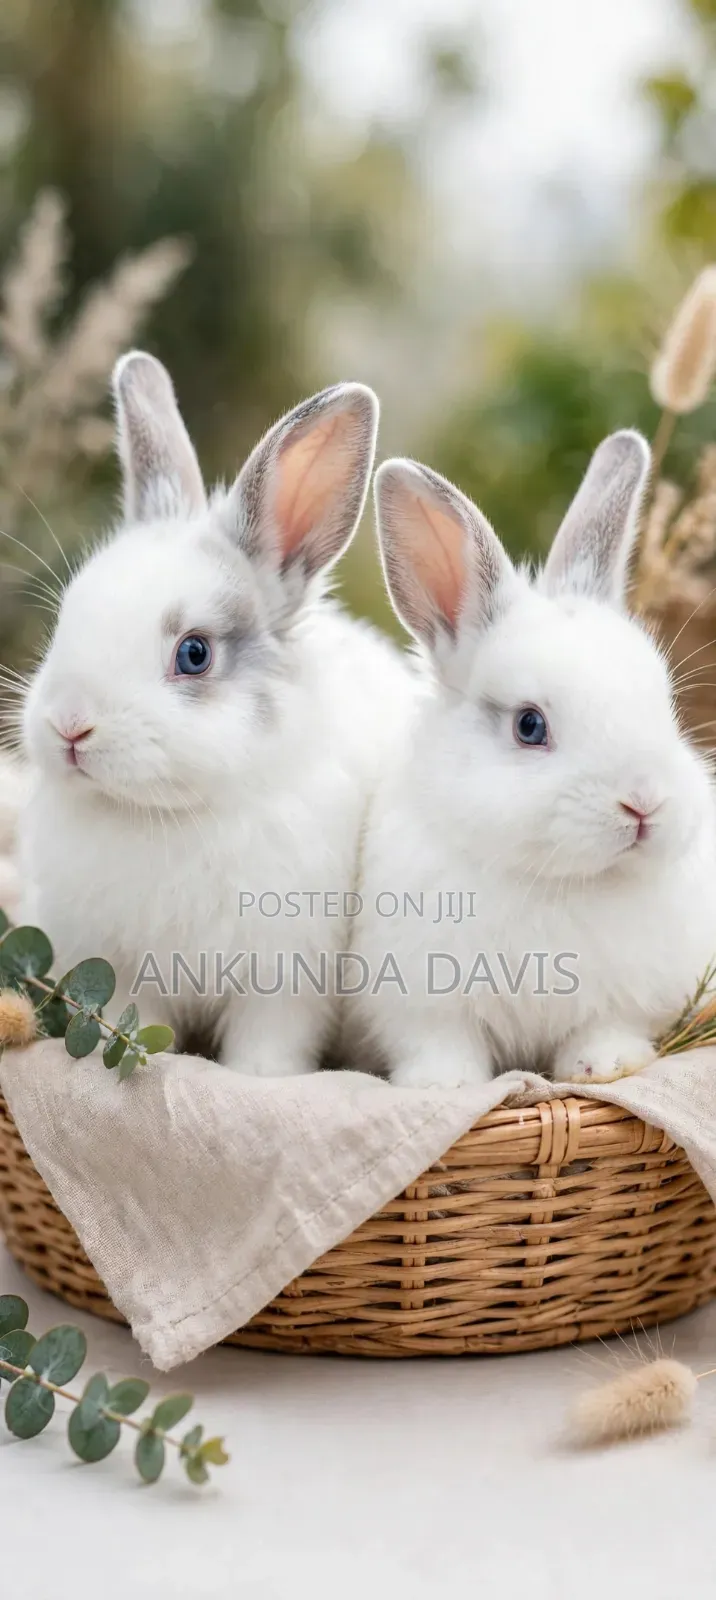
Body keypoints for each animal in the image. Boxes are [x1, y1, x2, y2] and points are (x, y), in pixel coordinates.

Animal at [18, 350, 413, 1075]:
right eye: (66, 616)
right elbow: (137, 1023)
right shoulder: (128, 973)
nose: (70, 726)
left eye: (194, 653)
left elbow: (267, 1041)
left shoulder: (282, 981)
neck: (167, 814)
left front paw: (259, 1077)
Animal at [348, 430, 716, 1087]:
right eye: (529, 725)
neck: (558, 882)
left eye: (666, 707)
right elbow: (440, 1043)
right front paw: (444, 1084)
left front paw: (603, 1067)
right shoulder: (420, 1003)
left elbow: (606, 1028)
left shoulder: (627, 997)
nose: (643, 803)